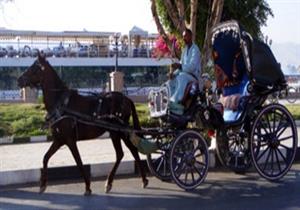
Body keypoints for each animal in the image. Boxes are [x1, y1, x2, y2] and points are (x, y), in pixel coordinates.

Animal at [17, 53, 148, 195]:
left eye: (34, 68)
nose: (19, 80)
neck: (61, 104)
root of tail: (126, 98)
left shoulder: (70, 140)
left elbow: (78, 161)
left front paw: (87, 187)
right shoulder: (59, 139)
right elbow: (46, 157)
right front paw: (42, 185)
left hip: (118, 131)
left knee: (128, 151)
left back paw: (123, 181)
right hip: (116, 132)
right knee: (124, 153)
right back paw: (131, 180)